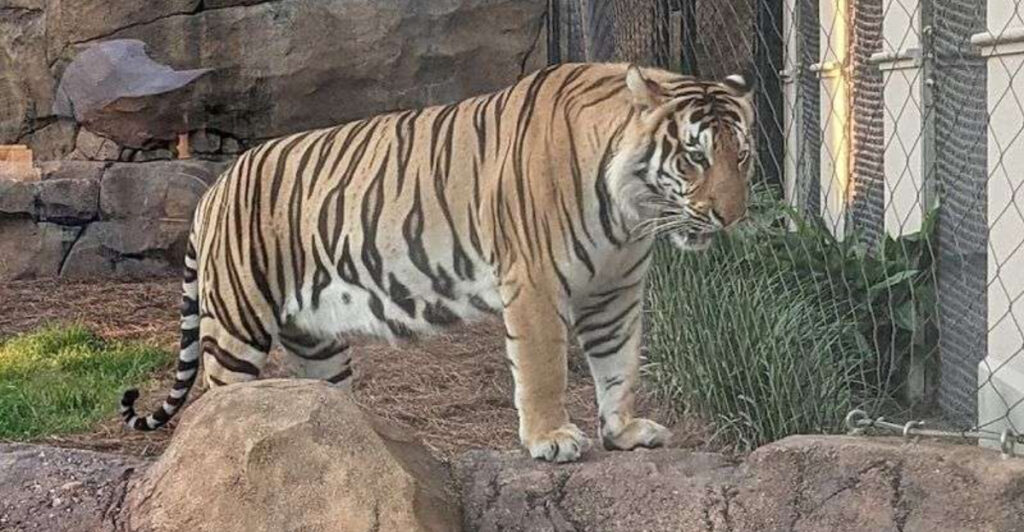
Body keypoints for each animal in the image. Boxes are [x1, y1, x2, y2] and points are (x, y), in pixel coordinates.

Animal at [120, 62, 754, 463]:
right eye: (694, 157)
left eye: (741, 156)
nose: (731, 217)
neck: (630, 214)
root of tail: (215, 186)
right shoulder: (535, 283)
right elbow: (544, 368)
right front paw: (550, 439)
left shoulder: (615, 292)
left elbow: (620, 365)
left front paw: (623, 432)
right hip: (236, 325)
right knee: (214, 404)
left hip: (317, 342)